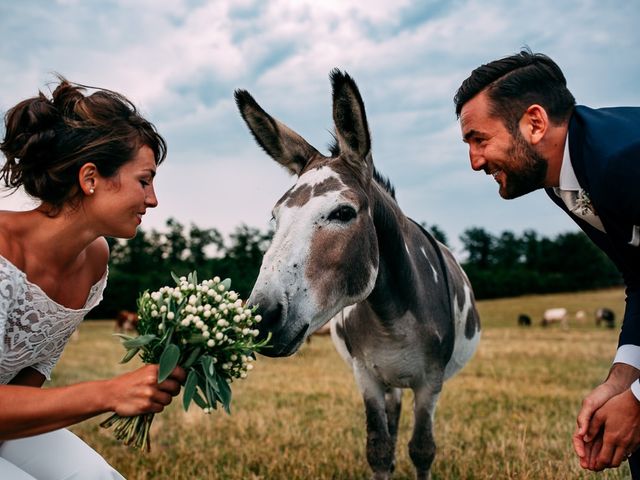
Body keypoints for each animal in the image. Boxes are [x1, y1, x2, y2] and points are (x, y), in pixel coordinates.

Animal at [236, 69, 480, 478]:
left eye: (343, 213)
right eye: (275, 217)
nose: (262, 318)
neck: (391, 317)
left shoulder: (430, 383)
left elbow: (422, 450)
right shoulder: (366, 376)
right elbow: (379, 450)